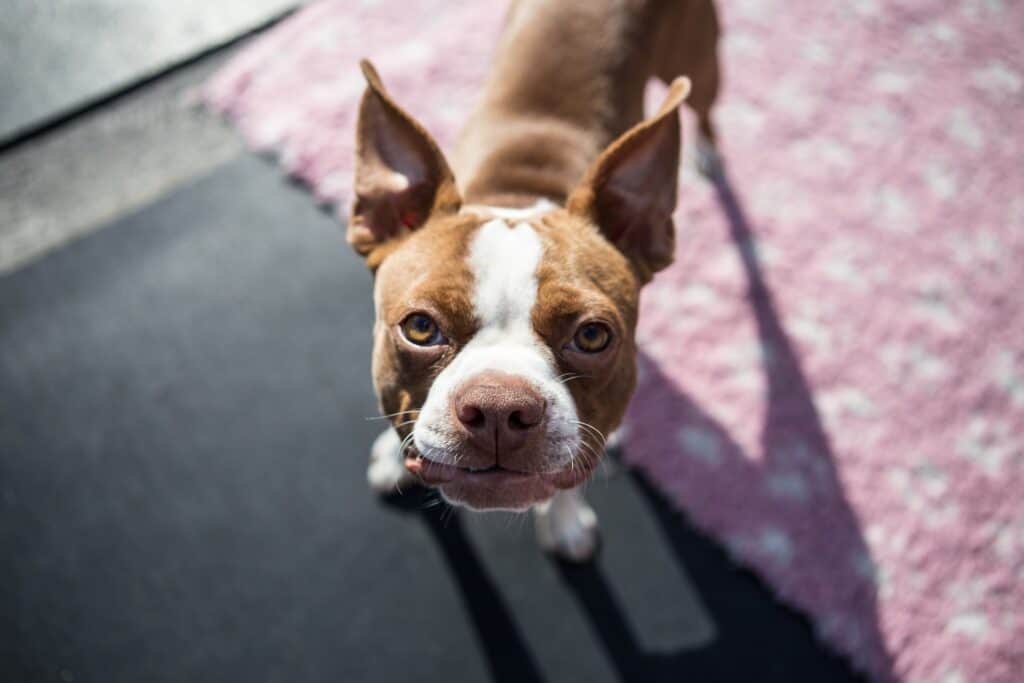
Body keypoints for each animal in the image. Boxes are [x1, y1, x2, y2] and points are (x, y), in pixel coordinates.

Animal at [352, 0, 720, 561]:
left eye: (592, 336)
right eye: (419, 328)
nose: (498, 407)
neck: (519, 194)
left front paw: (565, 523)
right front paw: (393, 458)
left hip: (700, 62)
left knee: (704, 106)